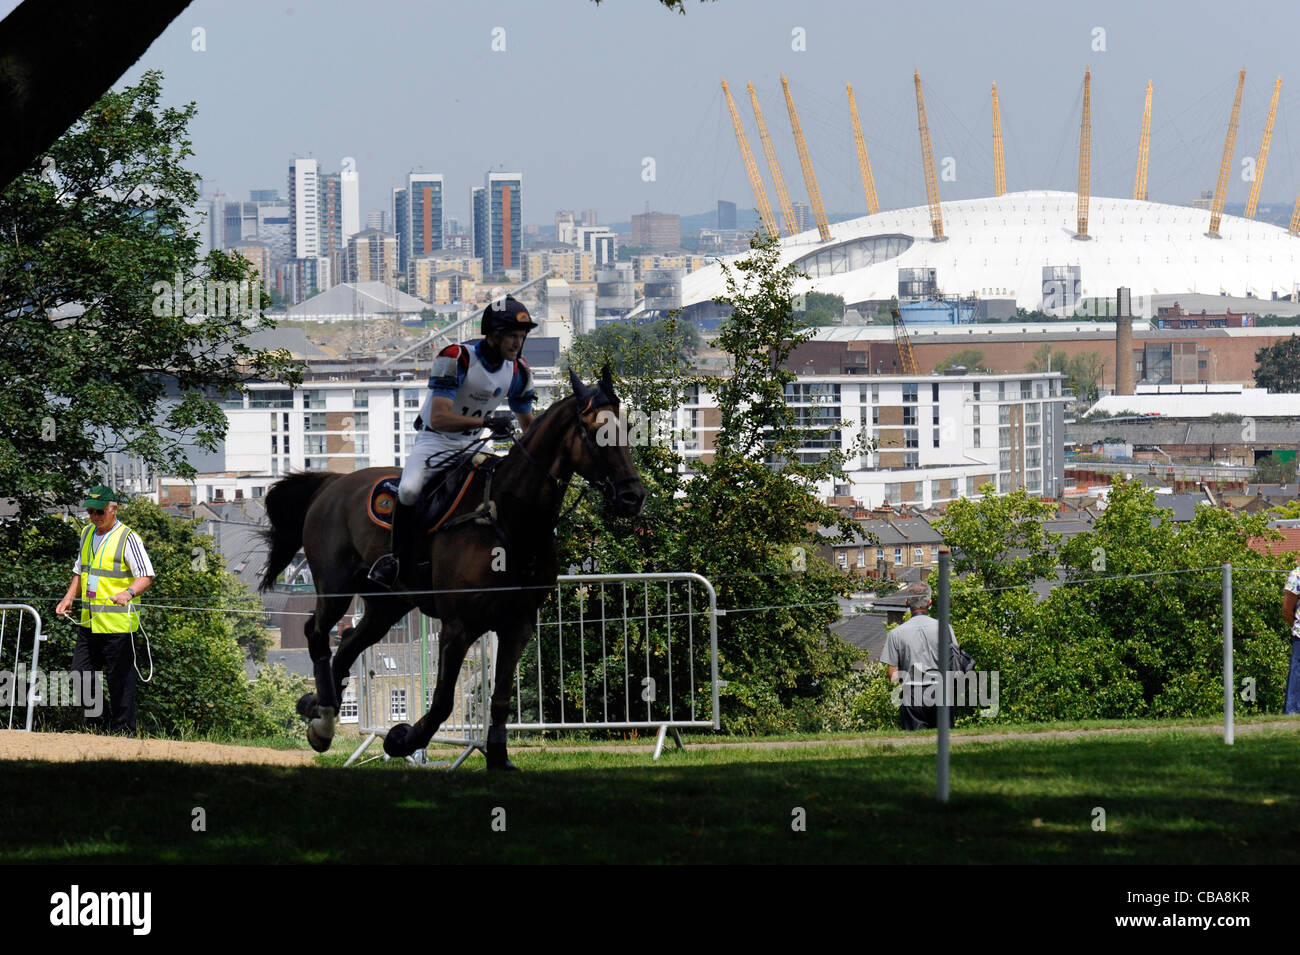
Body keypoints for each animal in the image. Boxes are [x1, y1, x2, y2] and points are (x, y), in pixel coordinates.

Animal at [261, 366, 647, 769]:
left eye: (627, 427)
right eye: (595, 431)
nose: (633, 496)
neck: (509, 520)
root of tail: (334, 483)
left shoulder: (518, 626)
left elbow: (500, 698)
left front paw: (498, 758)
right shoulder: (458, 627)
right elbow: (443, 701)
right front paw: (402, 738)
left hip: (389, 604)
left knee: (350, 642)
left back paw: (319, 708)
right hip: (336, 587)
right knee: (318, 632)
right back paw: (323, 717)